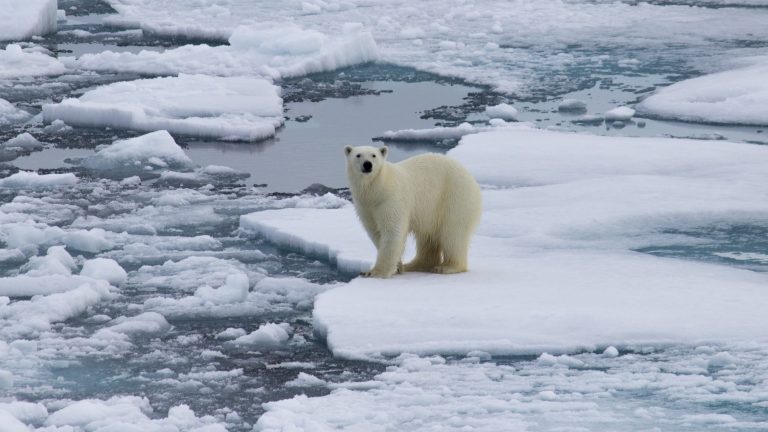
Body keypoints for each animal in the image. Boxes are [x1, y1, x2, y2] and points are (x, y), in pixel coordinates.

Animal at [346, 145, 480, 278]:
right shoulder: (365, 206)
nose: (367, 164)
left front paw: (375, 272)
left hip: (454, 197)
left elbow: (392, 230)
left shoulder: (390, 199)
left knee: (452, 233)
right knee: (427, 237)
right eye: (358, 155)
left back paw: (446, 267)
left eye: (373, 155)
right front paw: (398, 267)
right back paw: (415, 265)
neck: (377, 189)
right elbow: (375, 231)